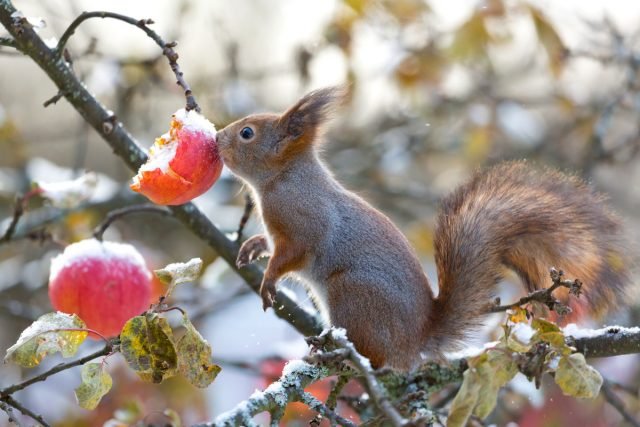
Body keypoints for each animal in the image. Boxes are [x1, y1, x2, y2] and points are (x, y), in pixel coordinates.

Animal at [215, 86, 632, 372]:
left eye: (248, 133)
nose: (217, 138)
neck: (284, 178)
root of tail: (416, 340)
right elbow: (271, 244)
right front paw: (253, 246)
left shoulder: (303, 223)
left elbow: (292, 254)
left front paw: (268, 280)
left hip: (353, 296)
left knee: (376, 357)